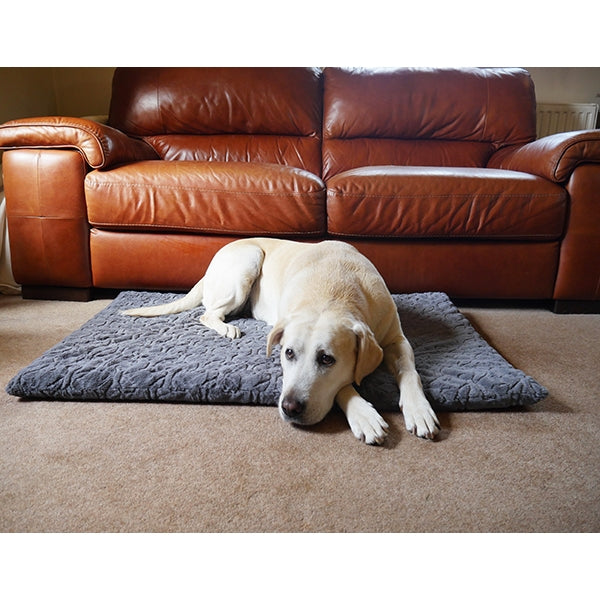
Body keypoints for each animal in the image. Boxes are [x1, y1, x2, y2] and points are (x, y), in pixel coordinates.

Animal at [123, 237, 440, 442]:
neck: (334, 289)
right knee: (207, 313)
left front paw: (419, 409)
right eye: (288, 353)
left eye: (327, 359)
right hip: (248, 261)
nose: (290, 408)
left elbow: (410, 371)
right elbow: (343, 387)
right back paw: (226, 328)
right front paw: (363, 413)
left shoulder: (396, 339)